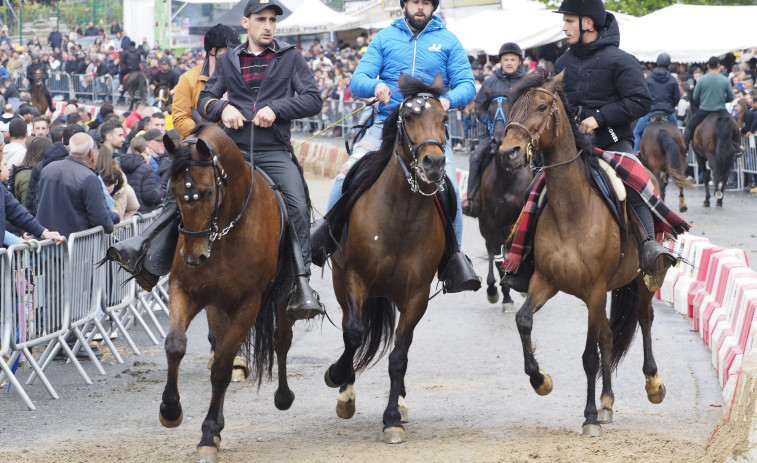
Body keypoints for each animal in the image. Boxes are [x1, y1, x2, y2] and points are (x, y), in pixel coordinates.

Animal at [159, 124, 298, 463]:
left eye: (208, 192)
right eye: (173, 191)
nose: (193, 256)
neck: (226, 233)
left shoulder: (248, 305)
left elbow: (222, 369)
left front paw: (208, 433)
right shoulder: (185, 291)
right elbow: (175, 345)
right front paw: (171, 409)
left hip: (277, 300)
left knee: (280, 341)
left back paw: (283, 395)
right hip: (217, 308)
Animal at [324, 73, 452, 446]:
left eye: (444, 119)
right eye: (407, 117)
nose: (433, 163)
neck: (401, 215)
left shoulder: (416, 295)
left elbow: (399, 355)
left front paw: (393, 418)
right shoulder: (353, 278)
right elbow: (353, 334)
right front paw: (339, 379)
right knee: (353, 331)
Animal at [476, 93, 536, 312]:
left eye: (512, 108)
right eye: (490, 110)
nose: (501, 140)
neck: (507, 178)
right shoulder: (492, 221)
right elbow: (497, 255)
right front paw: (502, 293)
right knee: (492, 250)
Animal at [502, 70, 668, 438]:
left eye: (542, 106)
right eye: (511, 108)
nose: (509, 152)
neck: (572, 209)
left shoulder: (593, 290)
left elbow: (589, 356)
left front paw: (589, 416)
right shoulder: (545, 281)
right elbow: (523, 320)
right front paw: (540, 379)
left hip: (640, 279)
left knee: (645, 319)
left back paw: (651, 383)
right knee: (607, 335)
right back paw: (607, 402)